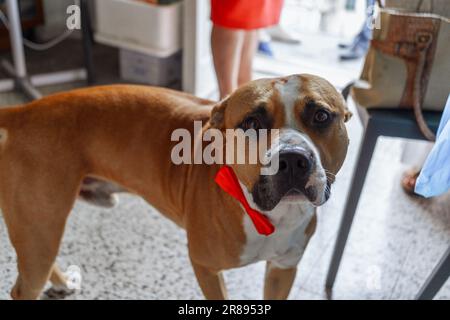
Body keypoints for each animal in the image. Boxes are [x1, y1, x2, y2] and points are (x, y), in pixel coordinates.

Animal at [0, 74, 352, 298]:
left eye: (321, 116)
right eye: (251, 123)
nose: (292, 159)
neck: (268, 215)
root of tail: (22, 112)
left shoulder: (282, 269)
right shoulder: (206, 268)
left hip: (41, 228)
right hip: (41, 224)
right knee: (25, 286)